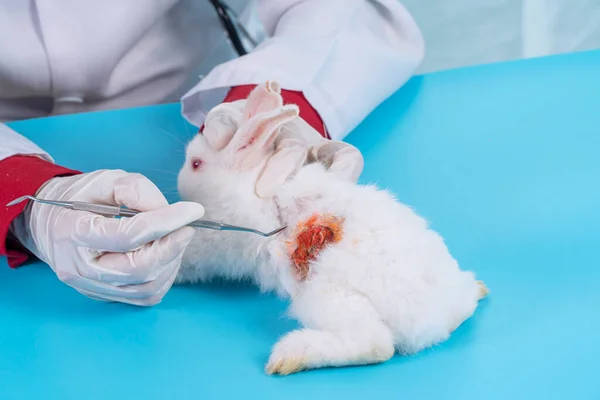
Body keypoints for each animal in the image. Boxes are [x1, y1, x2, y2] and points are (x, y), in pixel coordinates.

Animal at [177, 80, 488, 376]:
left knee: (377, 345)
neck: (248, 184)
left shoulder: (216, 245)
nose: (179, 182)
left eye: (195, 163)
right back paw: (479, 289)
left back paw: (289, 356)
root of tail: (432, 324)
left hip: (324, 297)